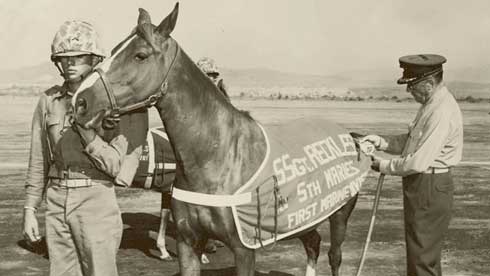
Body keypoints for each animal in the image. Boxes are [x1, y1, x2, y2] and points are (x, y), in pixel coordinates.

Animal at [72, 3, 370, 274]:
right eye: (112, 52)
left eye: (140, 55)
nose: (80, 101)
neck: (218, 156)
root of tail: (350, 137)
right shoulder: (188, 243)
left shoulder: (244, 249)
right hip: (305, 217)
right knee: (313, 243)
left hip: (339, 215)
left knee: (333, 255)